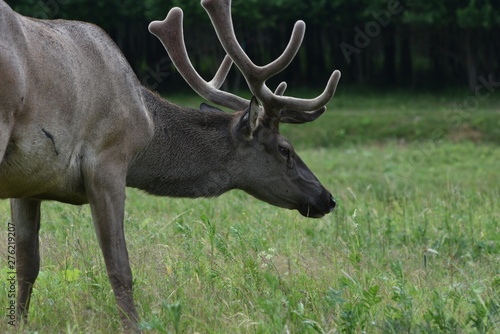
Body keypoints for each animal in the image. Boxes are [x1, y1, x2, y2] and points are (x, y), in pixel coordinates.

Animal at [0, 0, 340, 330]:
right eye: (285, 149)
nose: (327, 198)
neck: (146, 125)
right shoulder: (108, 162)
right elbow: (120, 268)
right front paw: (134, 326)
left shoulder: (30, 182)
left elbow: (27, 264)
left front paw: (20, 323)